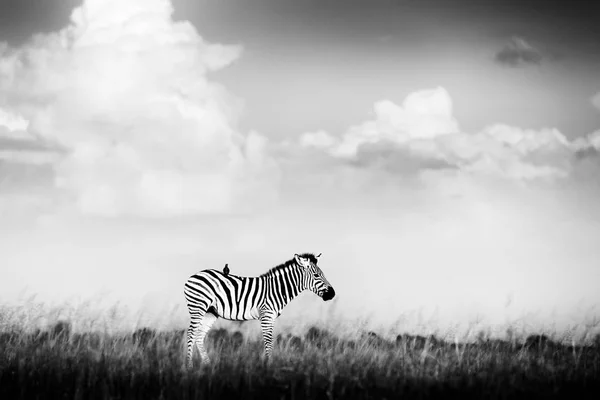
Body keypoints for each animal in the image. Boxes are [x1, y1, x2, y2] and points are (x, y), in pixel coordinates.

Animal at [183, 252, 336, 368]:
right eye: (316, 275)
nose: (332, 294)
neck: (278, 289)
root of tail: (193, 276)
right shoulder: (266, 315)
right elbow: (268, 342)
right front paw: (269, 367)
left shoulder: (271, 317)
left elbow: (269, 341)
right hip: (198, 306)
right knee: (191, 334)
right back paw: (189, 367)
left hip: (210, 312)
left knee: (199, 335)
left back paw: (208, 365)